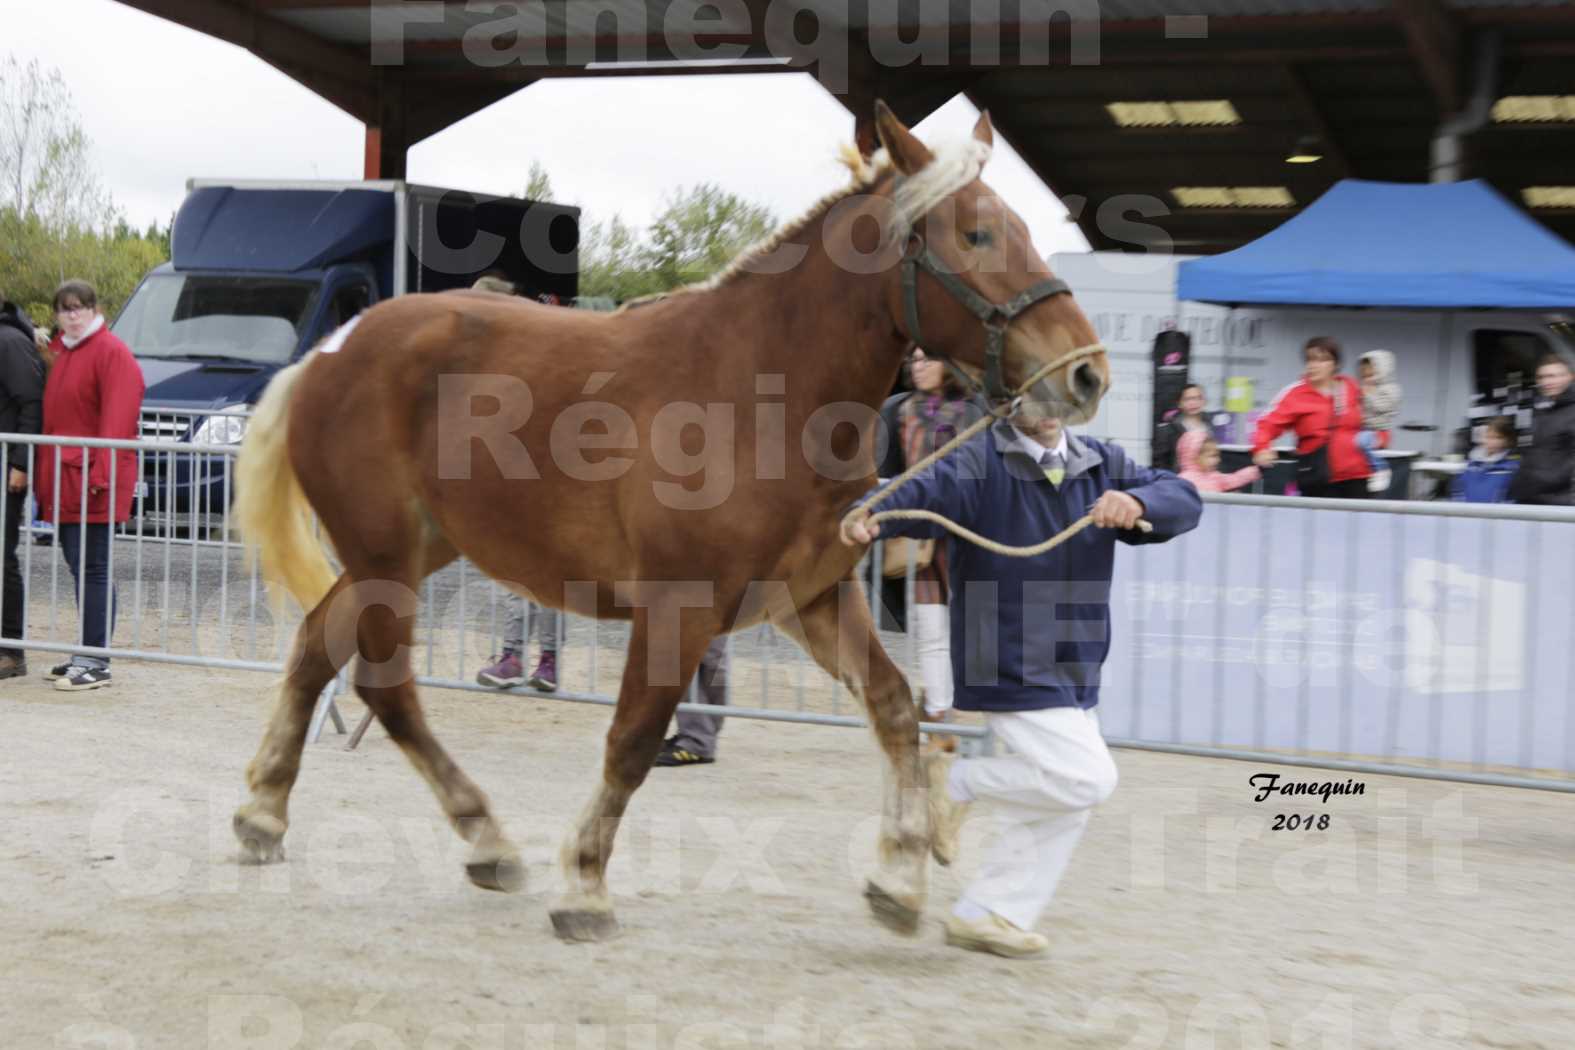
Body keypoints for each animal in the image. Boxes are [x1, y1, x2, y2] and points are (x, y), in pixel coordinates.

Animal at [229, 104, 1108, 944]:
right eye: (977, 232)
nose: (1085, 374)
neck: (760, 395)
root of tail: (332, 350)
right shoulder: (678, 607)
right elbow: (633, 738)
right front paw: (584, 886)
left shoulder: (811, 600)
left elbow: (895, 710)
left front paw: (898, 882)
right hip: (385, 555)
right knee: (384, 683)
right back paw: (485, 838)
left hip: (411, 551)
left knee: (316, 645)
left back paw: (266, 815)